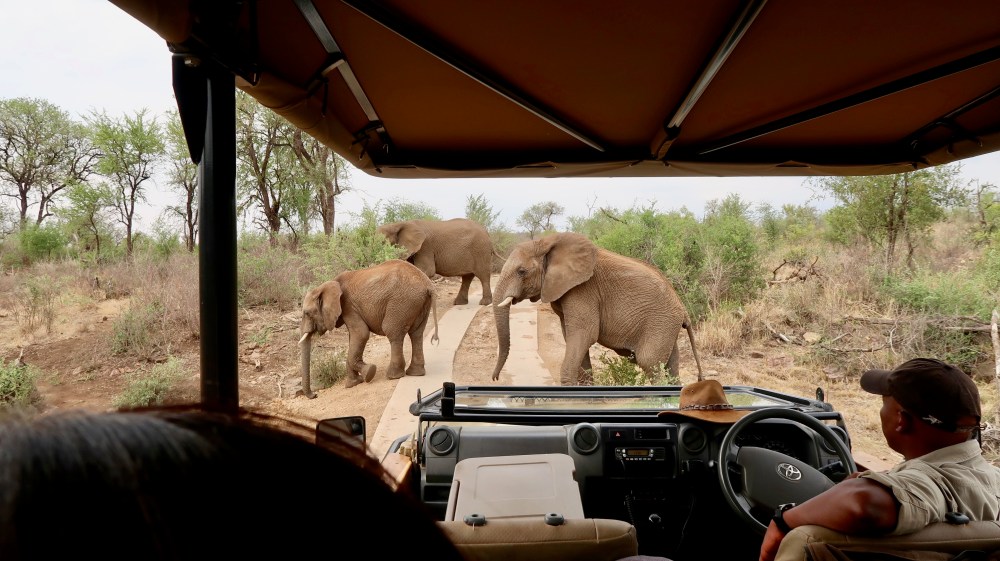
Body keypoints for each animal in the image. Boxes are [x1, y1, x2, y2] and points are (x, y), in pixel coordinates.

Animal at [298, 259, 439, 398]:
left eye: (307, 313)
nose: (315, 395)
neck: (328, 284)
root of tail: (428, 284)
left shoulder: (349, 306)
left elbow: (361, 334)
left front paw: (369, 373)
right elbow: (353, 338)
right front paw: (353, 384)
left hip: (401, 302)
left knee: (393, 332)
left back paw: (392, 376)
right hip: (419, 304)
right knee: (416, 334)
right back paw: (415, 373)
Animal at [491, 232, 703, 386]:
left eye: (521, 271)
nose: (495, 378)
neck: (547, 242)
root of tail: (683, 308)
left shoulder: (584, 290)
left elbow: (584, 334)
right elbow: (573, 338)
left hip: (660, 322)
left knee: (650, 363)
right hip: (666, 326)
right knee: (671, 367)